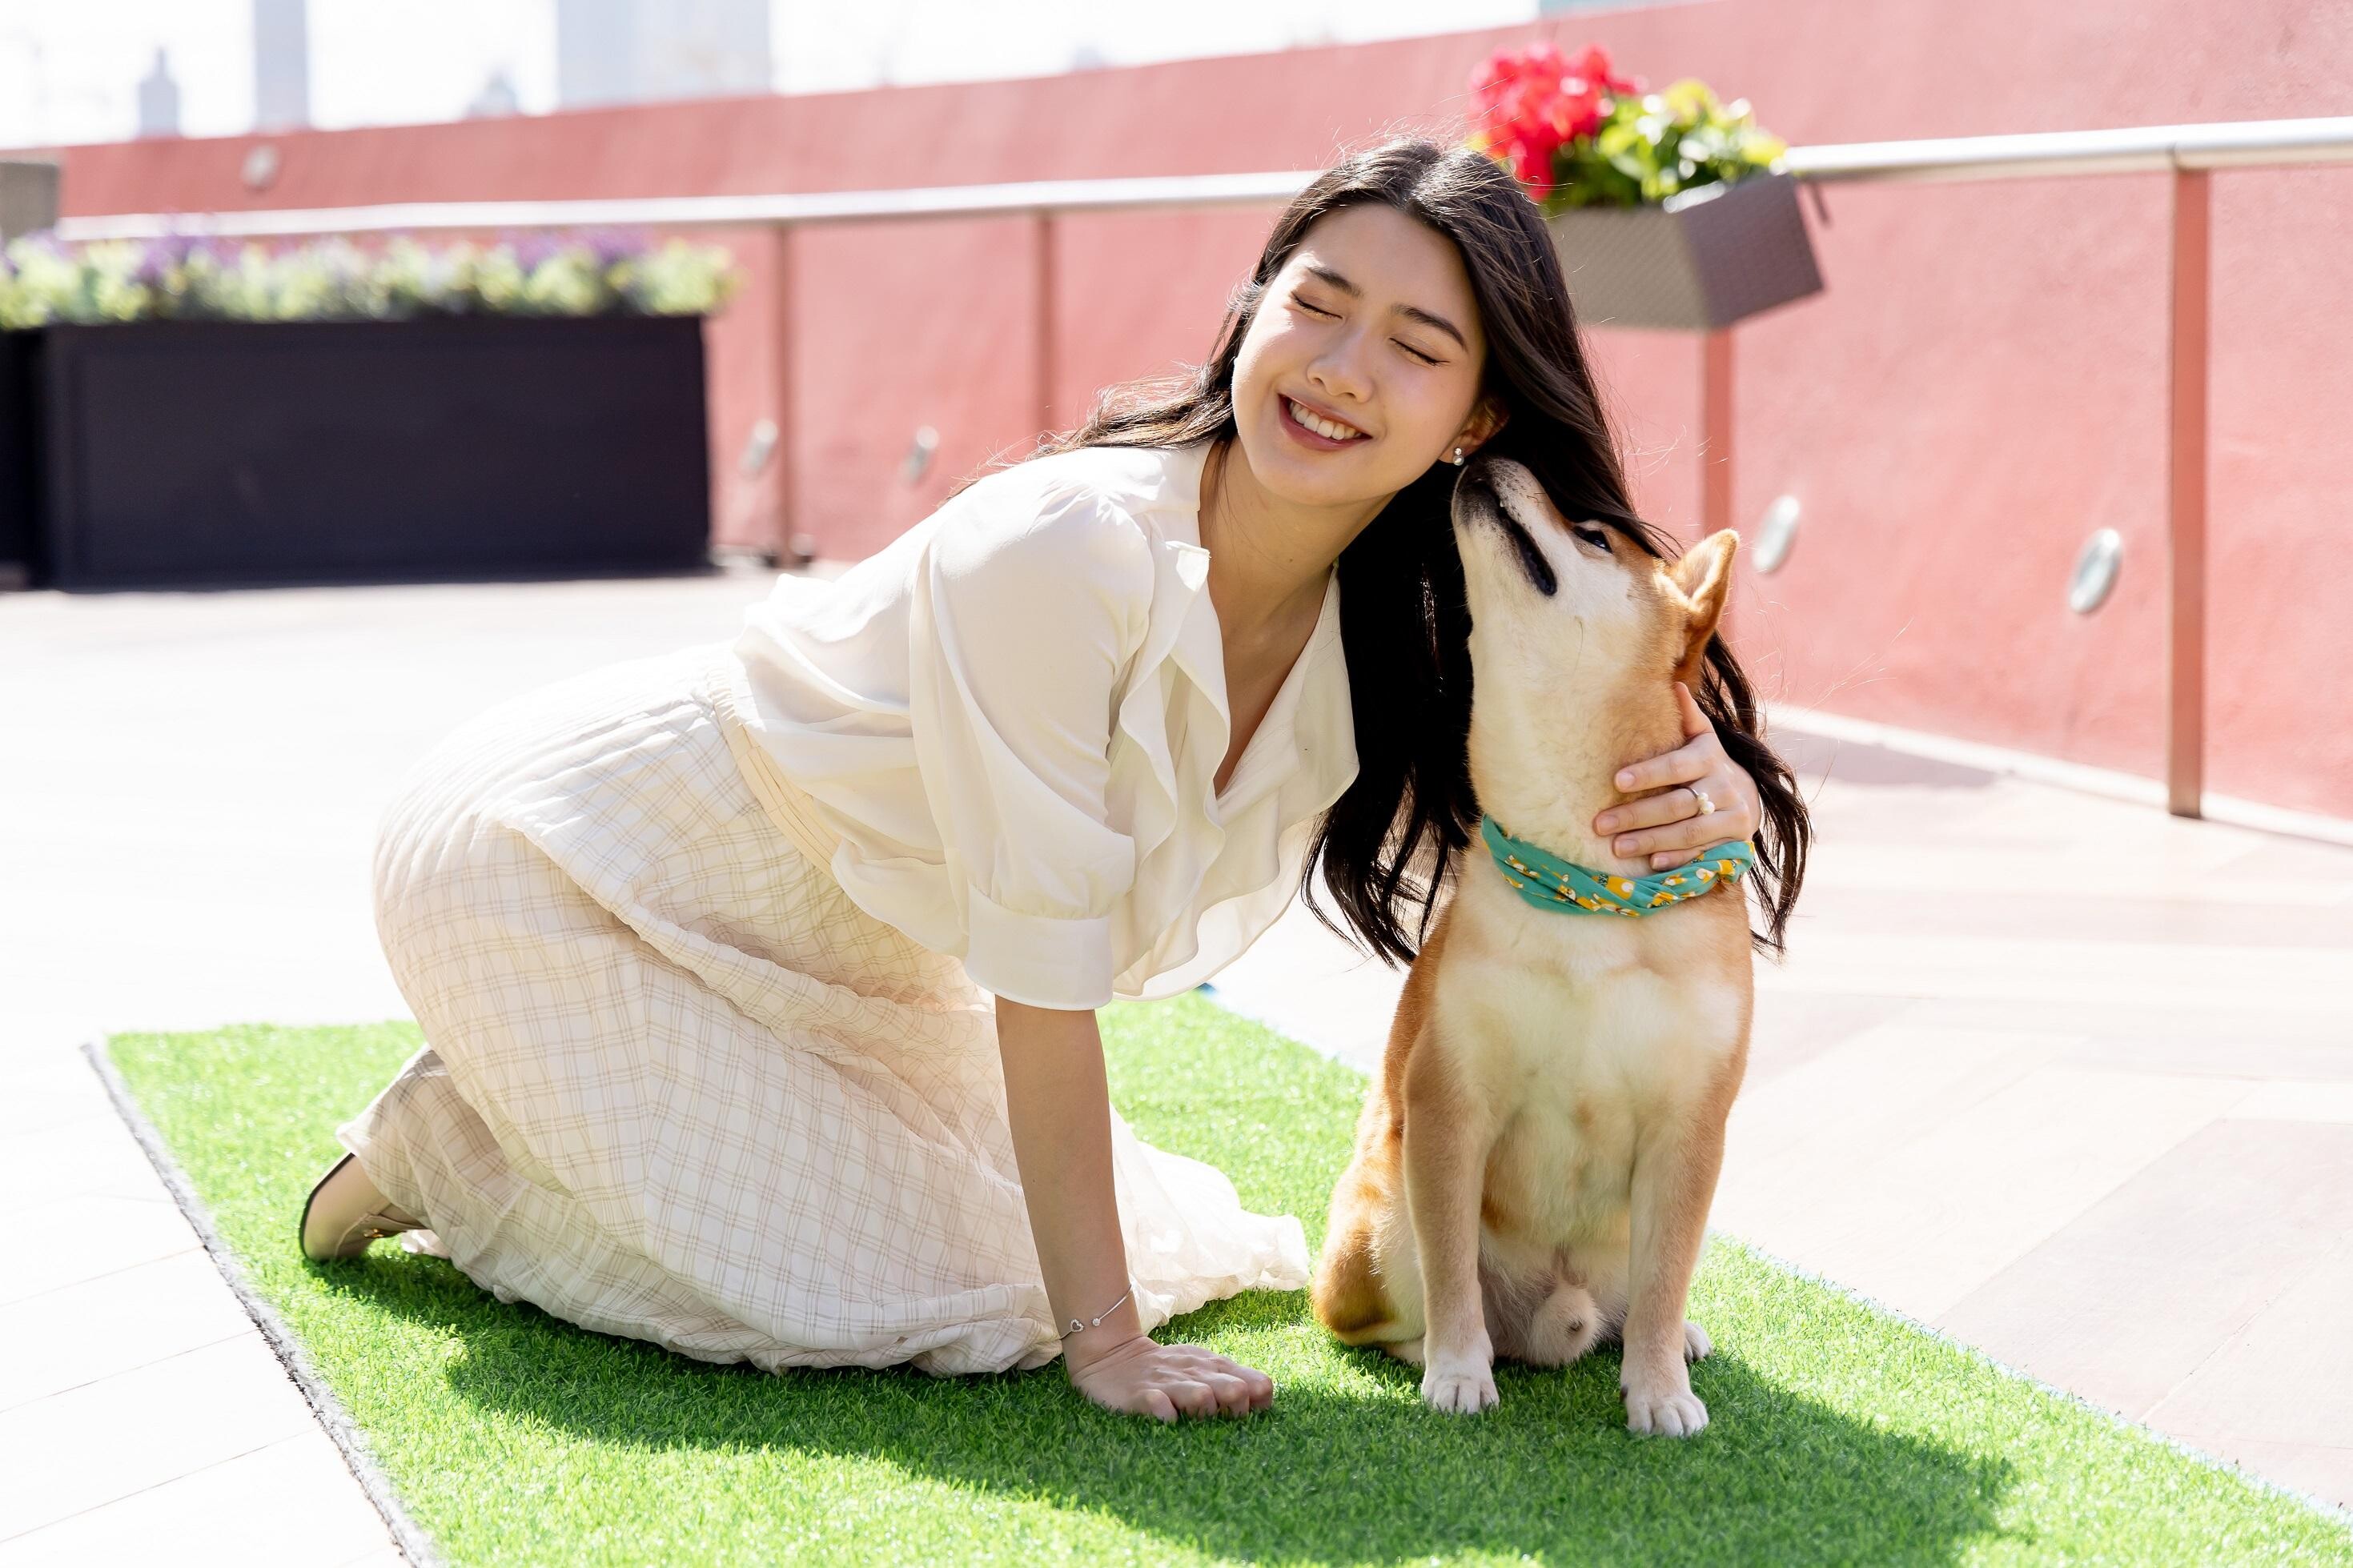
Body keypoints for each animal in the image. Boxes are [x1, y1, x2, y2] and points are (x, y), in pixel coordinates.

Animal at [1309, 456, 1760, 1437]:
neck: (1585, 888)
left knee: (1645, 1293)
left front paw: (1659, 1389)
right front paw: (1456, 1372)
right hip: (1376, 1230)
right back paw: (1439, 1352)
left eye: (1592, 535)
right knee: (1398, 1309)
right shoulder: (1449, 1100)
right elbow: (1450, 1271)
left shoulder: (1689, 1123)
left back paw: (1674, 1339)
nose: (1486, 457)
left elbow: (1664, 1282)